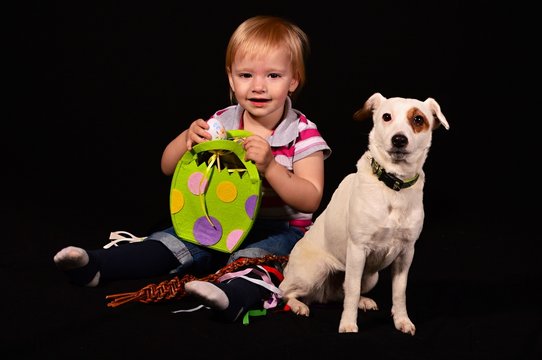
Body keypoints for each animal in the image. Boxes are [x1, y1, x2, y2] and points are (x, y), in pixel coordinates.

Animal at [280, 93, 450, 334]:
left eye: (418, 119)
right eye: (386, 117)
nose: (399, 139)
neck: (393, 186)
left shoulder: (406, 254)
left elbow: (399, 293)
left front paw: (402, 320)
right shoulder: (358, 250)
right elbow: (351, 291)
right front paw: (348, 324)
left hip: (371, 277)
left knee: (341, 293)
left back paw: (363, 301)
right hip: (314, 271)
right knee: (285, 291)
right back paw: (298, 306)